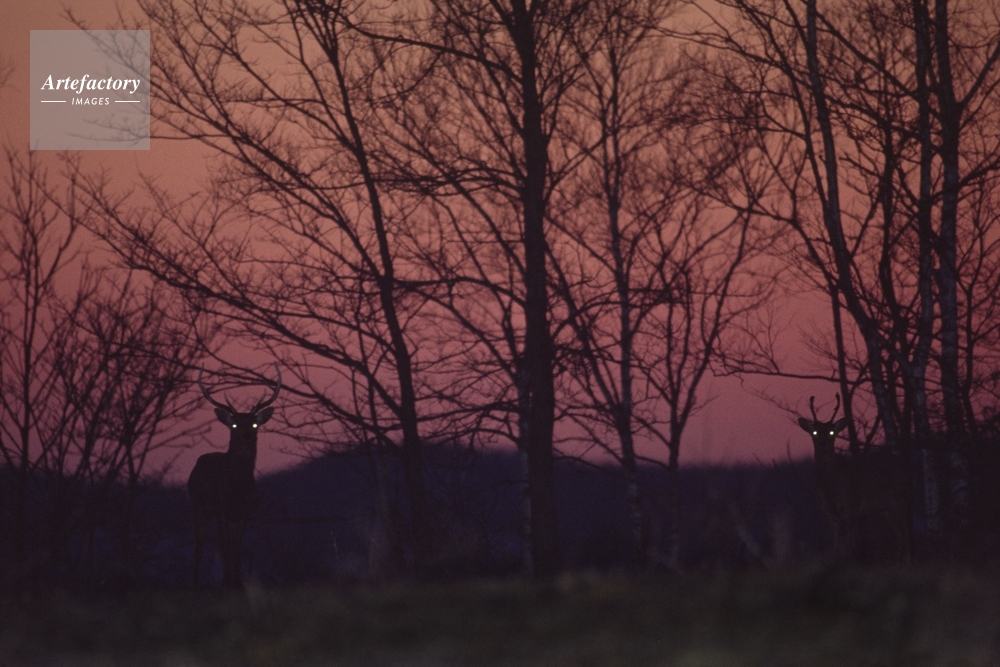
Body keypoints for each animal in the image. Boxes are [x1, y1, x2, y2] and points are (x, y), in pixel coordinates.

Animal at [189, 364, 281, 588]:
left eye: (254, 424)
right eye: (235, 424)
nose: (246, 435)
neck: (237, 486)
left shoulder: (244, 510)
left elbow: (237, 546)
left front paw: (237, 581)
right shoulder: (221, 506)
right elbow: (226, 545)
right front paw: (227, 581)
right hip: (198, 505)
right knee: (200, 544)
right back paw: (194, 582)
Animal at [798, 394, 910, 563]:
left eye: (832, 432)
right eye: (815, 432)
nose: (823, 443)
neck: (832, 484)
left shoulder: (852, 504)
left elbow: (849, 543)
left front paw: (848, 563)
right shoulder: (829, 511)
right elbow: (834, 543)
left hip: (899, 497)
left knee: (905, 531)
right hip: (884, 508)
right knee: (899, 533)